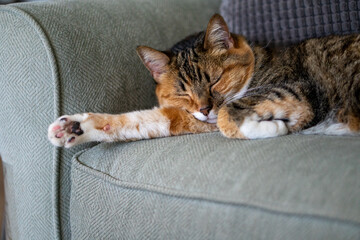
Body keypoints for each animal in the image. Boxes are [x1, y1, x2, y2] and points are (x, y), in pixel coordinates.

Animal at [47, 14, 360, 148]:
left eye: (215, 81)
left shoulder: (297, 88)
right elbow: (140, 121)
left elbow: (227, 116)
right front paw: (73, 128)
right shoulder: (188, 118)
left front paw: (274, 127)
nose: (205, 108)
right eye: (183, 93)